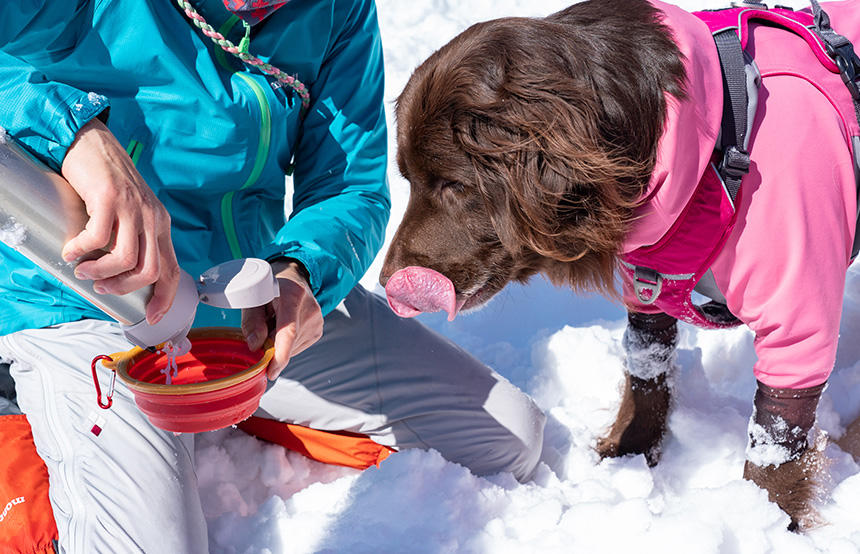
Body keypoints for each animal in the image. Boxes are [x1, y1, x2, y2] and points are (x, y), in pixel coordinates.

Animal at [380, 0, 860, 528]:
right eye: (406, 177)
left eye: (454, 184)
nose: (387, 281)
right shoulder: (650, 292)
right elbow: (646, 378)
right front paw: (628, 458)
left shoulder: (797, 327)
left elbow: (774, 448)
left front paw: (767, 522)